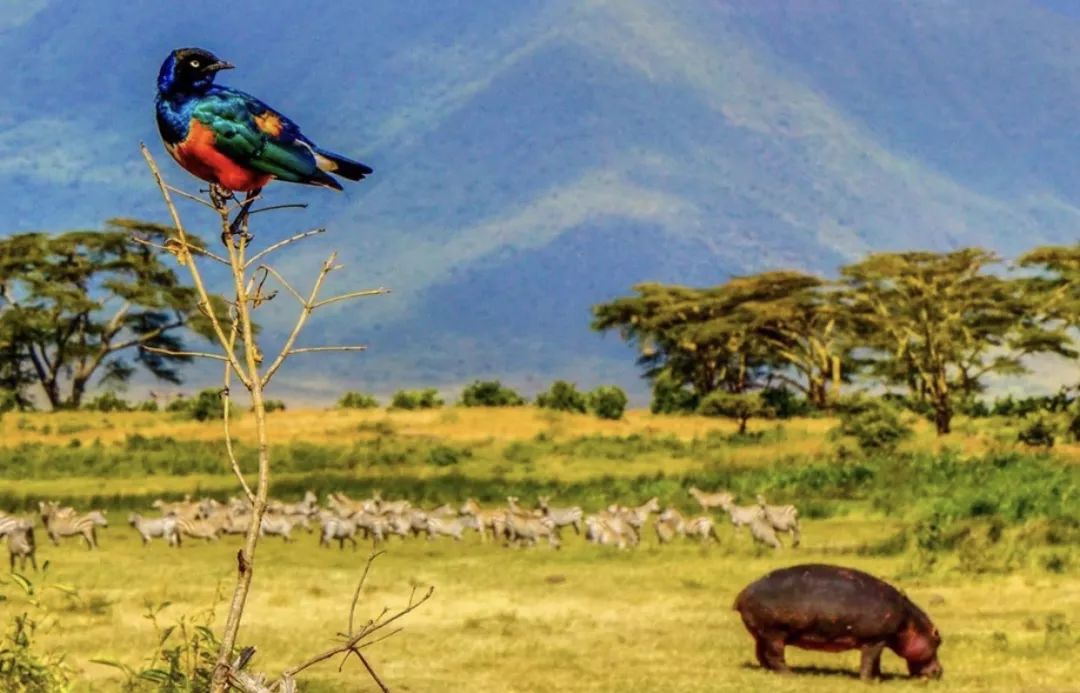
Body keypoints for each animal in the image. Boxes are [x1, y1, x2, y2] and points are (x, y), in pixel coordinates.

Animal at [738, 561, 941, 682]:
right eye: (938, 640)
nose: (940, 671)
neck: (909, 622)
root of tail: (743, 593)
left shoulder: (878, 641)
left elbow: (875, 661)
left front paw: (878, 678)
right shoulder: (875, 640)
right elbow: (869, 661)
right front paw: (869, 682)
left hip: (762, 633)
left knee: (761, 654)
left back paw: (768, 671)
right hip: (774, 633)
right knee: (774, 655)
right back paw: (791, 675)